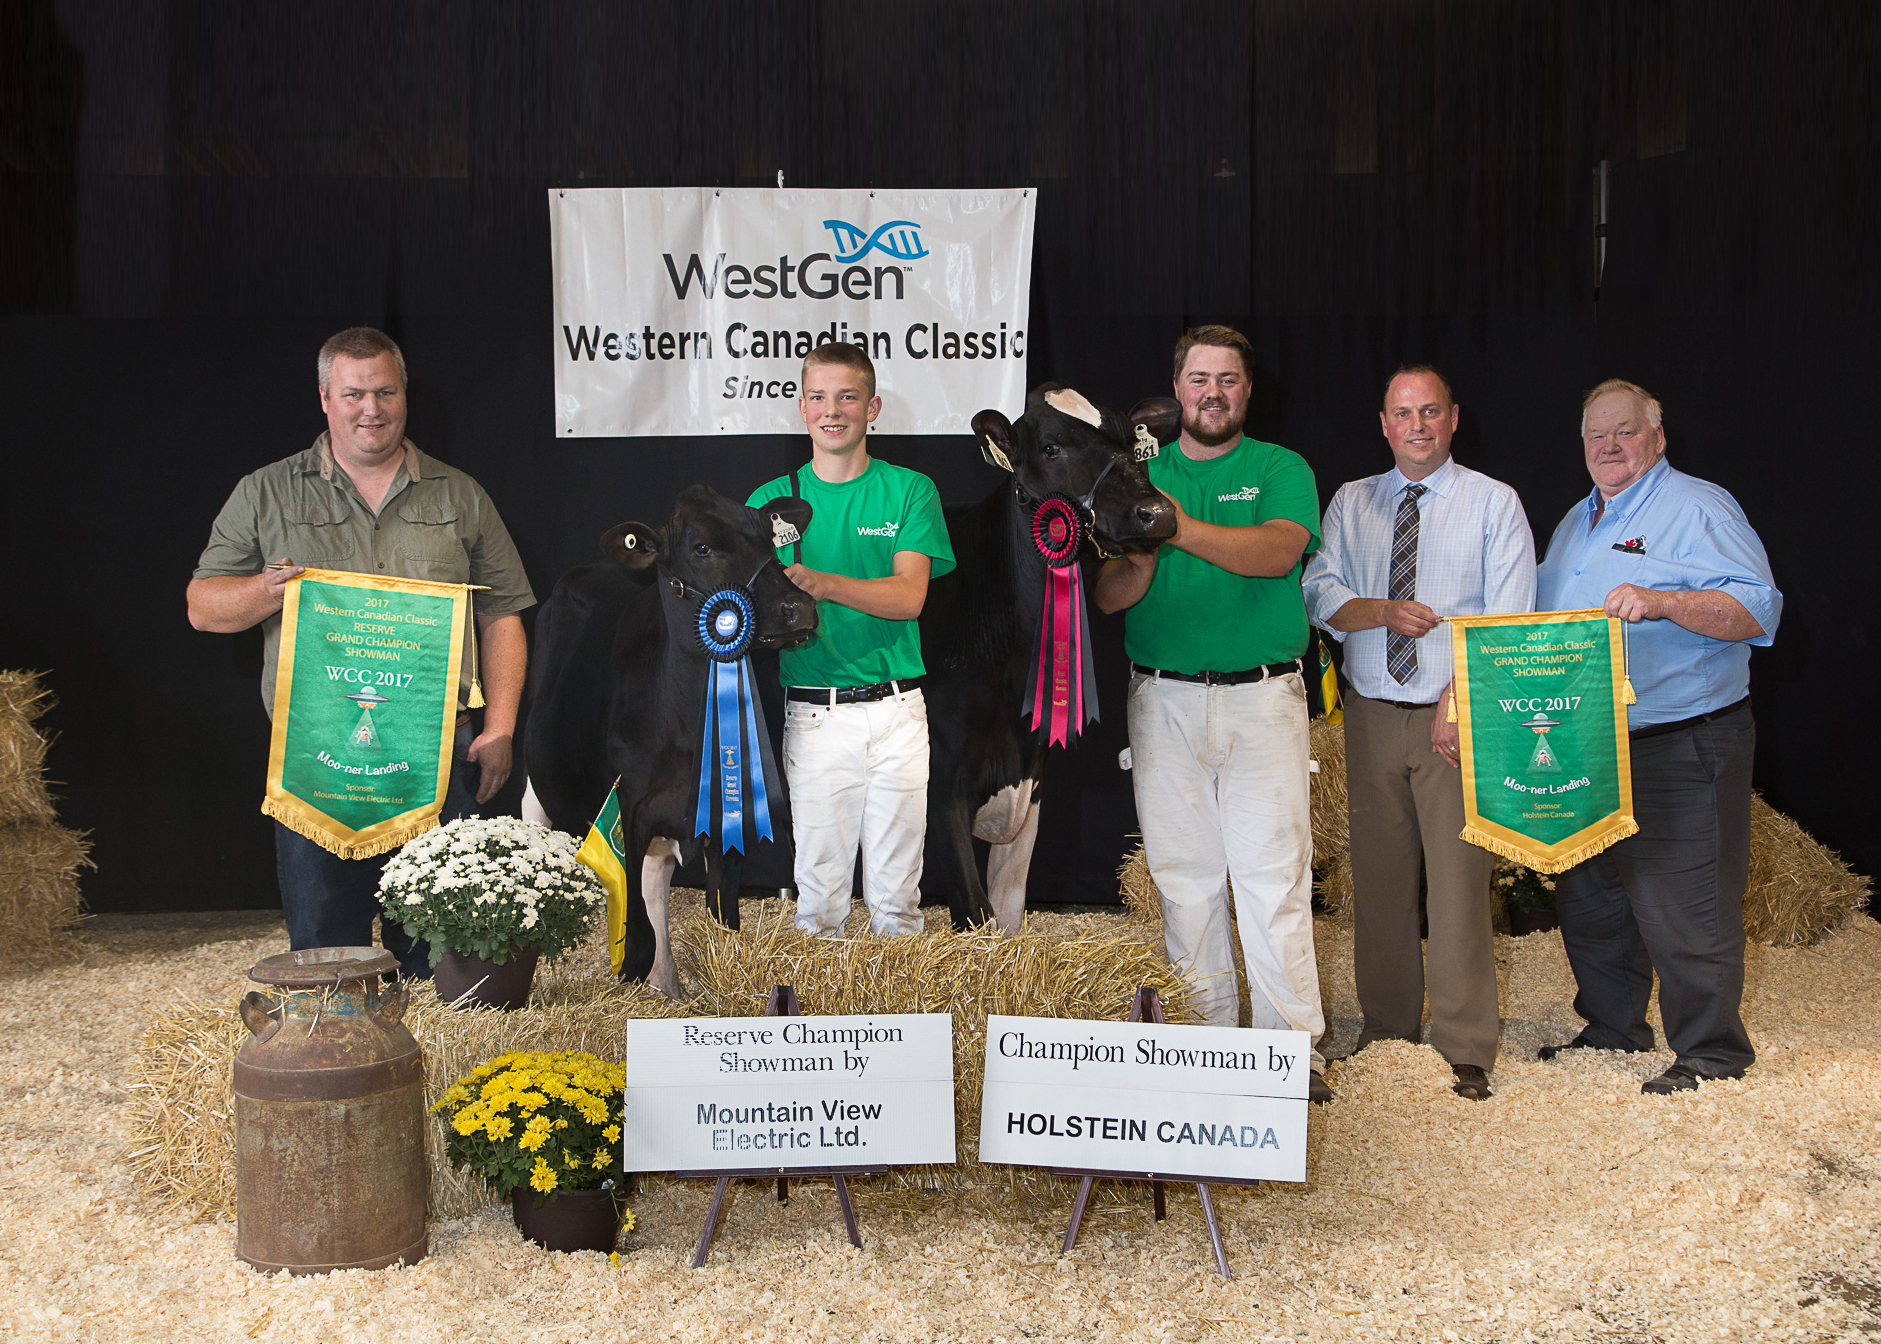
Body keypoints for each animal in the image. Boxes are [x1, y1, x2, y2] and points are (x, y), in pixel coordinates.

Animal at [520, 484, 816, 994]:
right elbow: (636, 938)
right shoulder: (628, 813)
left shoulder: (726, 819)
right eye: (702, 547)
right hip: (536, 791)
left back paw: (666, 982)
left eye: (769, 537)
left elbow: (723, 922)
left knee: (655, 885)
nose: (799, 607)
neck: (685, 730)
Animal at [919, 383, 1181, 933]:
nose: (1157, 513)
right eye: (1050, 448)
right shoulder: (941, 779)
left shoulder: (1033, 776)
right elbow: (977, 913)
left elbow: (1009, 910)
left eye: (1133, 443)